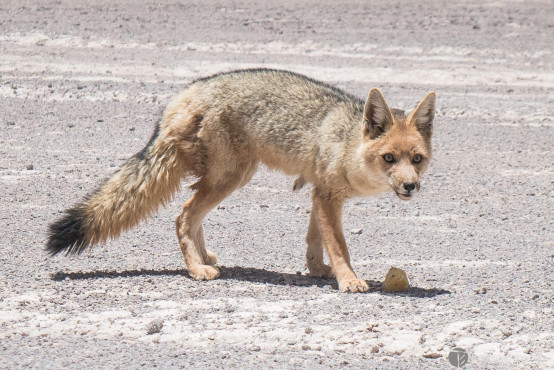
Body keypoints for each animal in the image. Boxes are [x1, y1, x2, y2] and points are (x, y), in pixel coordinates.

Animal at [46, 68, 436, 292]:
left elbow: (315, 240)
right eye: (389, 158)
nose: (410, 187)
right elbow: (338, 245)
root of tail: (184, 94)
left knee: (190, 213)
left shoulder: (319, 193)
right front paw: (349, 280)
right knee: (183, 215)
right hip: (232, 177)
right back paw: (196, 269)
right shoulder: (327, 196)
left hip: (226, 177)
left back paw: (203, 258)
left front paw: (317, 270)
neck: (350, 145)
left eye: (417, 160)